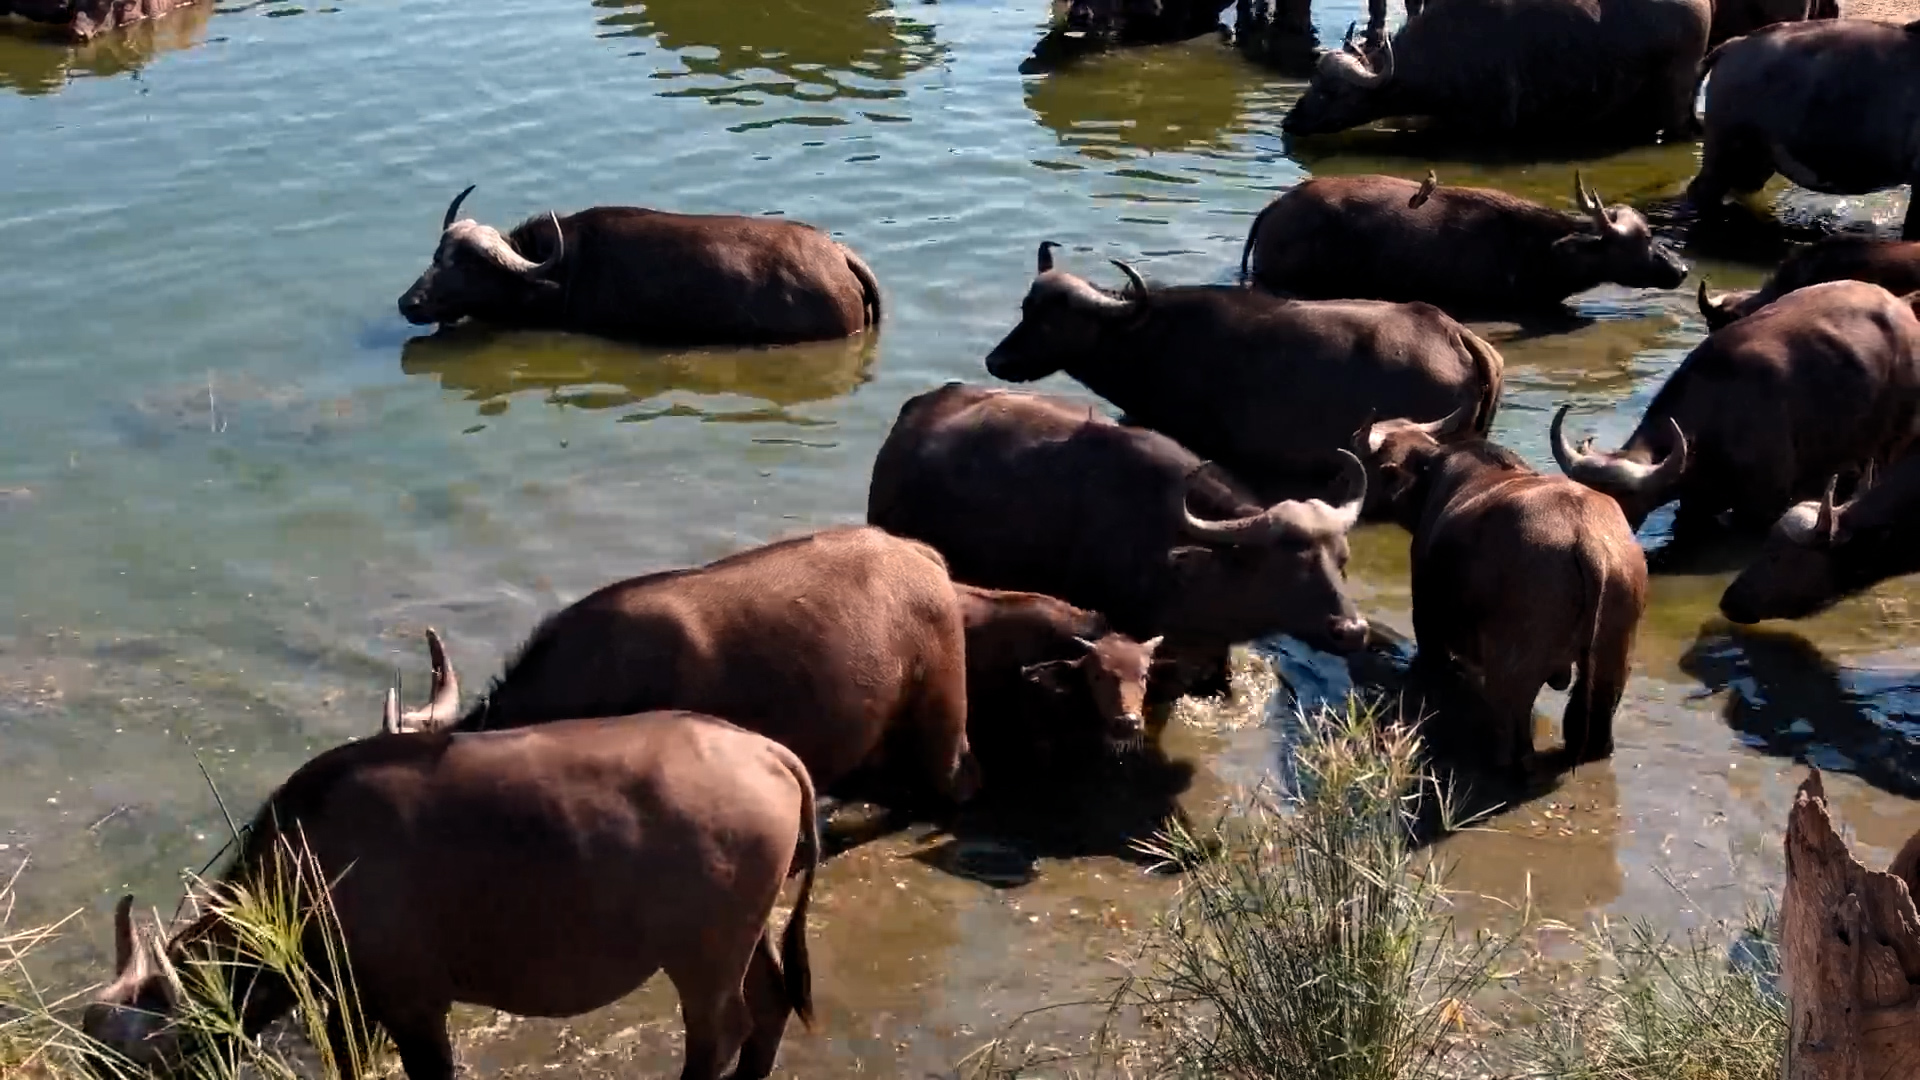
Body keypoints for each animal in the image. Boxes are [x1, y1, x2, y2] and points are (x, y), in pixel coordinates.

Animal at [83, 709, 818, 1080]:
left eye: (152, 1065)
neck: (312, 863)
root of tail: (769, 753)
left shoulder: (413, 1008)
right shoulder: (353, 1008)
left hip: (703, 961)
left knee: (720, 1036)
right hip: (744, 939)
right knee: (771, 1005)